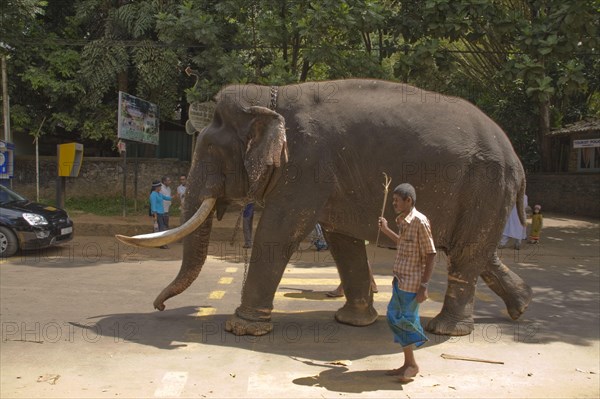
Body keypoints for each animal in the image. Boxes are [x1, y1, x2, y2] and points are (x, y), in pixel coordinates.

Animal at [117, 78, 536, 338]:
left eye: (210, 152)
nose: (158, 307)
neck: (270, 97)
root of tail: (516, 158)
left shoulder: (306, 163)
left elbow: (279, 230)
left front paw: (242, 328)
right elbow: (341, 238)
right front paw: (353, 322)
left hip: (486, 183)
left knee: (467, 252)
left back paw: (447, 330)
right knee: (474, 251)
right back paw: (521, 306)